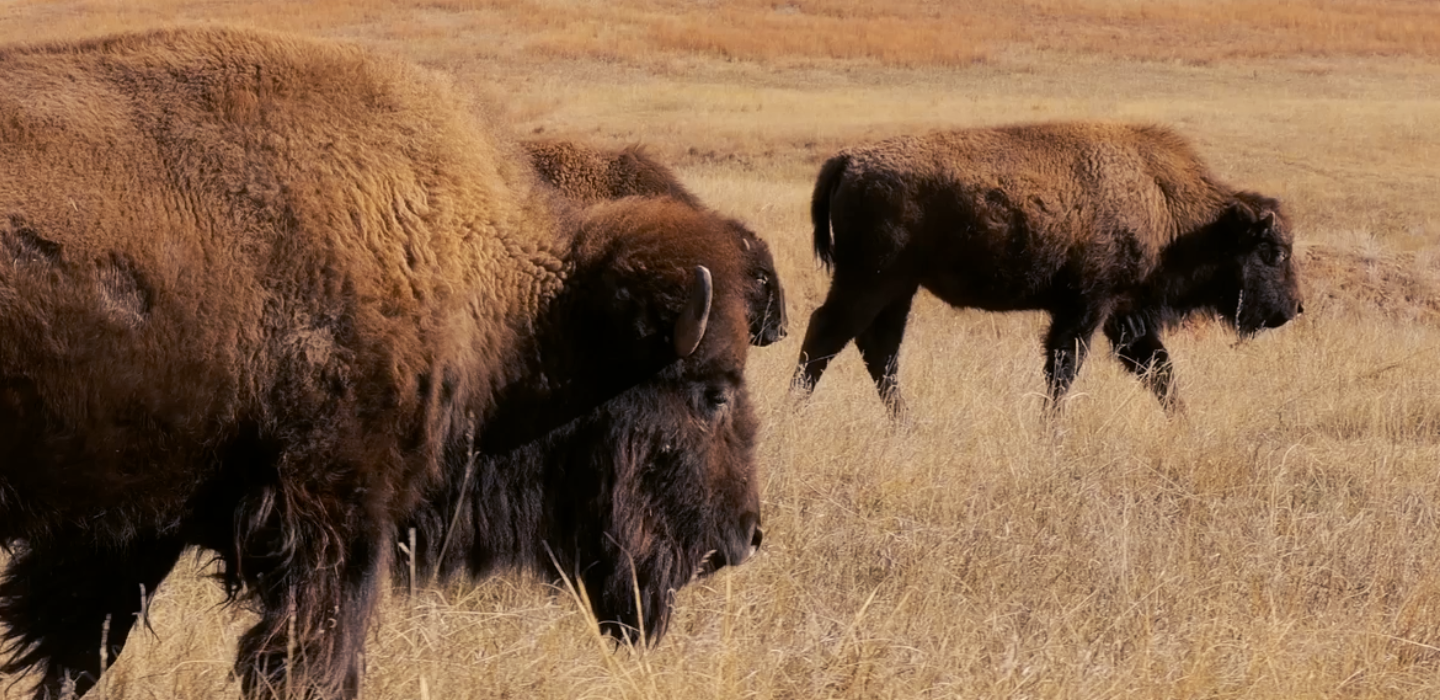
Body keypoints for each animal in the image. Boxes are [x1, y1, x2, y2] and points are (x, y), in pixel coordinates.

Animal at [0, 27, 760, 699]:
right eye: (713, 395)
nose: (745, 535)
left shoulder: (129, 528)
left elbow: (78, 646)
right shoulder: (336, 511)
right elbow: (314, 656)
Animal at [795, 122, 1303, 416]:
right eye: (1272, 252)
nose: (1294, 308)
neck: (1162, 201)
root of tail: (850, 159)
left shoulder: (1123, 315)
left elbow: (1159, 370)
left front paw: (1184, 422)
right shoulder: (1088, 307)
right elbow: (1065, 368)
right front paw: (1051, 431)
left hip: (898, 289)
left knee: (878, 349)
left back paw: (906, 424)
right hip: (870, 281)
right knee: (829, 334)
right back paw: (794, 413)